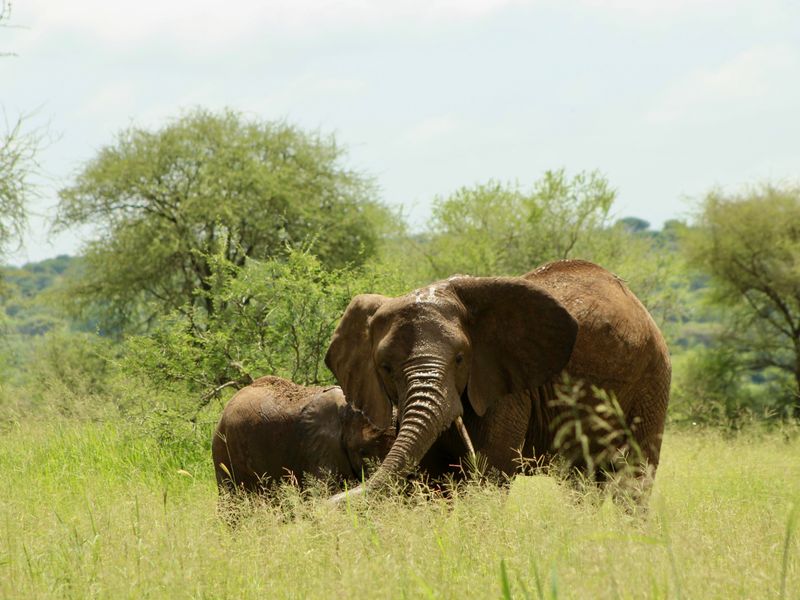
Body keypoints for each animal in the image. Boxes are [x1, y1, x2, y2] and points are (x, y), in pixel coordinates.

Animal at [324, 256, 668, 496]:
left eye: (460, 358)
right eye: (385, 367)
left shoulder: (504, 388)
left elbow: (491, 470)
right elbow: (431, 477)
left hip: (652, 378)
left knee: (634, 475)